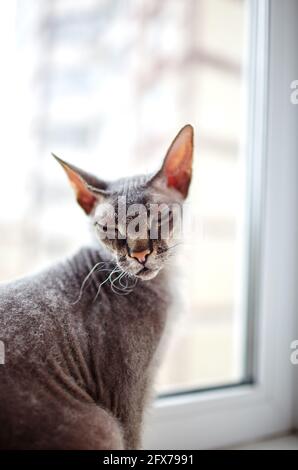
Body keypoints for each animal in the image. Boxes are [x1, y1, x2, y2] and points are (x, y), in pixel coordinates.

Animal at [0, 124, 193, 448]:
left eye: (157, 218)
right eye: (110, 229)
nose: (140, 254)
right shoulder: (128, 399)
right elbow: (134, 441)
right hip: (104, 424)